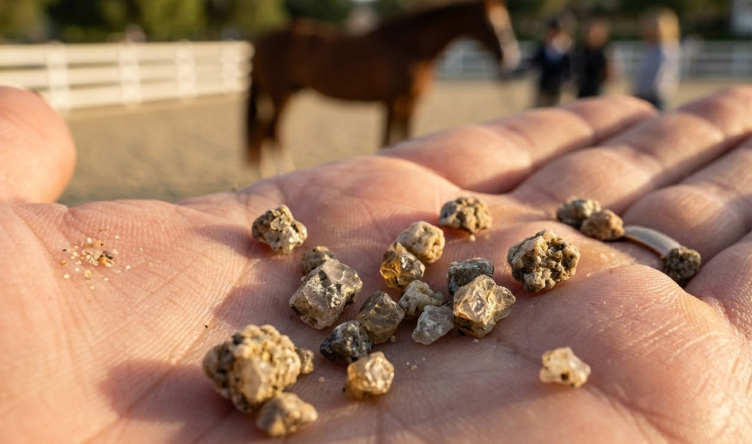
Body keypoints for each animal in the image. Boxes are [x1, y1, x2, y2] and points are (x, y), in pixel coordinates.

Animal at [246, 0, 520, 176]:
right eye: (488, 21)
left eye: (505, 19)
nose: (509, 56)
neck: (408, 46)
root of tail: (260, 39)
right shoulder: (391, 101)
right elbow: (387, 139)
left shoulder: (409, 103)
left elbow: (404, 137)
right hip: (280, 94)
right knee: (271, 130)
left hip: (289, 93)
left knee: (268, 130)